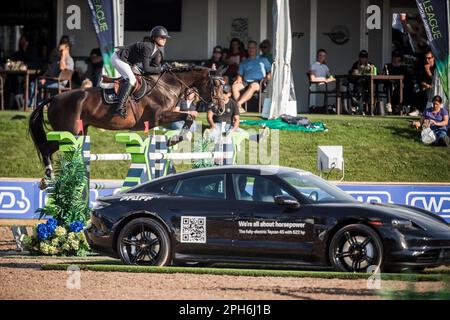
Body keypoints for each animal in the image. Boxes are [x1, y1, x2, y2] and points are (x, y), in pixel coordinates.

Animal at [28, 64, 225, 178]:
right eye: (216, 85)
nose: (221, 109)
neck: (168, 86)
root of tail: (54, 98)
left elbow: (190, 116)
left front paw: (173, 139)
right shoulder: (158, 116)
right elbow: (189, 116)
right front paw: (173, 139)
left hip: (79, 132)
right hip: (69, 132)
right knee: (46, 148)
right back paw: (49, 174)